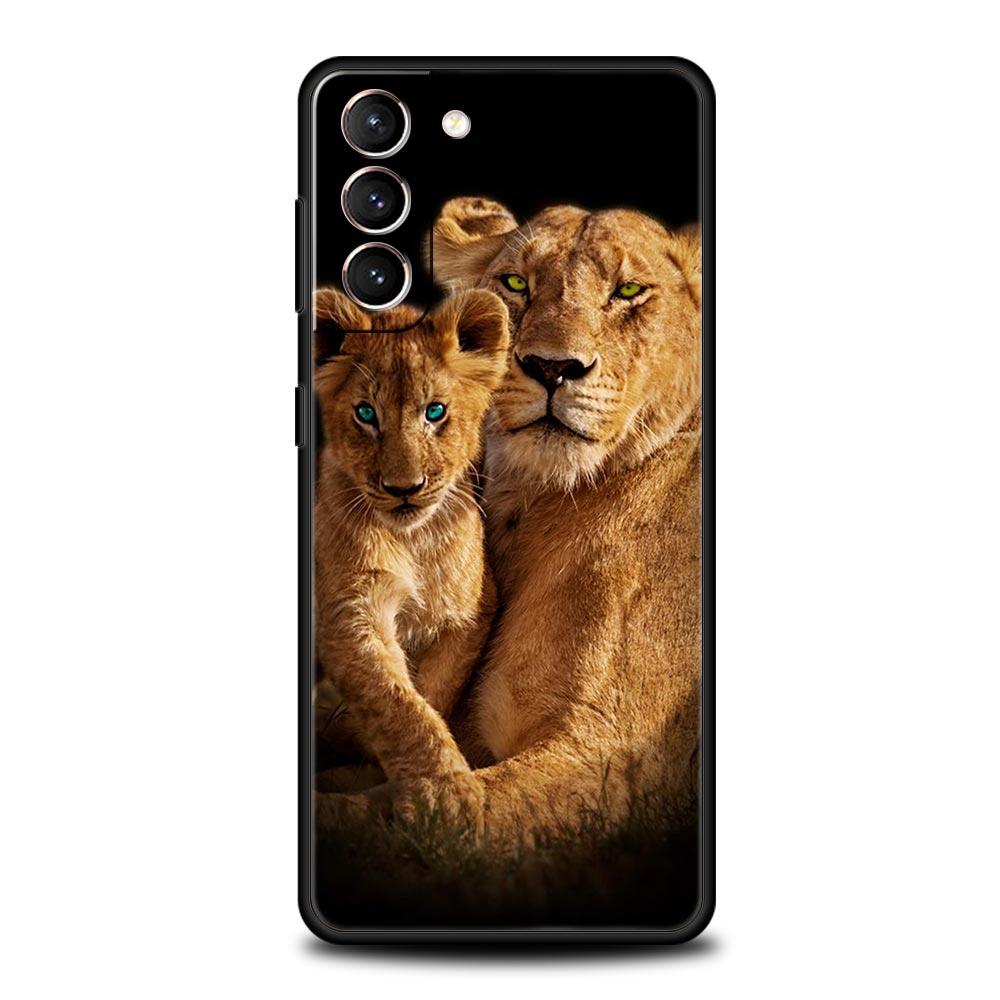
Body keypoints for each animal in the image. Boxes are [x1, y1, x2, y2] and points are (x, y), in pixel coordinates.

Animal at [311, 287, 509, 795]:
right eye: (366, 414)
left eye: (435, 412)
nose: (405, 488)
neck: (413, 541)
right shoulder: (350, 608)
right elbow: (396, 703)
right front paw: (446, 794)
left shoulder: (469, 613)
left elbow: (430, 694)